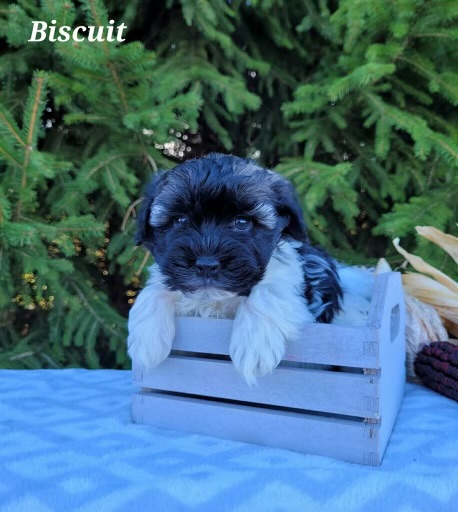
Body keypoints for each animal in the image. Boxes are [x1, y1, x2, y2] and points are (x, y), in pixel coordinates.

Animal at [127, 154, 374, 382]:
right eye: (179, 220)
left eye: (242, 223)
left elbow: (269, 288)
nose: (206, 264)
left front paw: (254, 346)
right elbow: (156, 288)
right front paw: (145, 340)